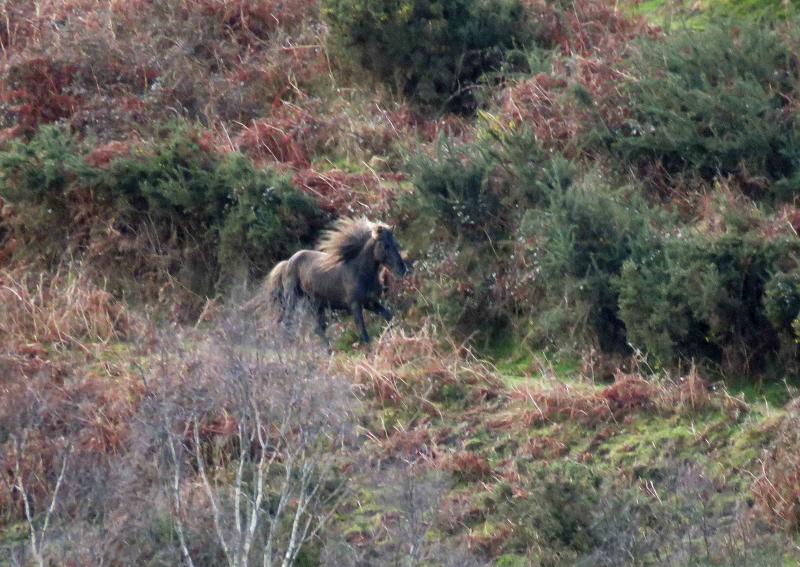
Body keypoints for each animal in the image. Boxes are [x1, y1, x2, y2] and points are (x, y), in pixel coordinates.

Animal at [266, 217, 408, 343]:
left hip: (317, 306)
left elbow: (389, 316)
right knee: (288, 324)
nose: (402, 269)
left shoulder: (370, 302)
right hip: (293, 301)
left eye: (395, 244)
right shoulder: (355, 305)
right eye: (385, 246)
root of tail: (287, 263)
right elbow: (363, 334)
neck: (359, 271)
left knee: (319, 330)